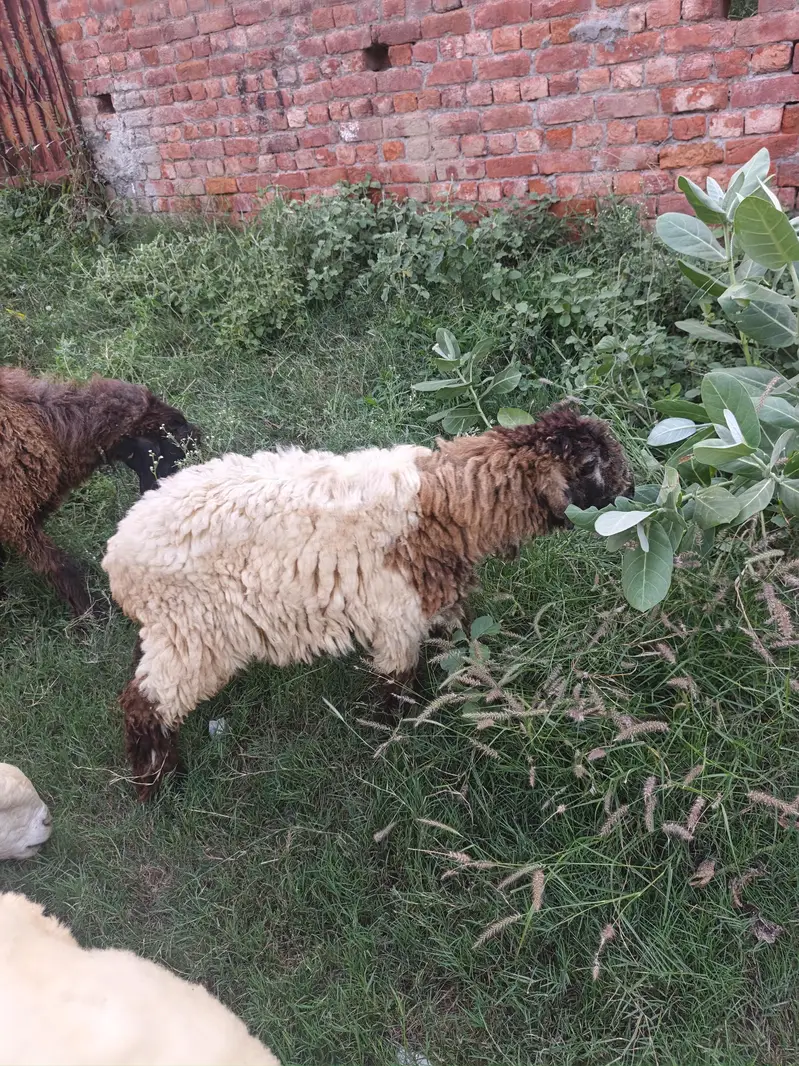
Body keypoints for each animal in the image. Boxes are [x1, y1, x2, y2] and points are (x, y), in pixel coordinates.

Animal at [102, 406, 633, 799]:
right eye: (594, 465)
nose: (630, 491)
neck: (444, 505)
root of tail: (118, 558)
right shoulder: (397, 616)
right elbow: (396, 683)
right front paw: (394, 734)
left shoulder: (437, 600)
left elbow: (456, 642)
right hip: (196, 633)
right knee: (143, 701)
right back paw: (158, 782)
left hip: (169, 631)